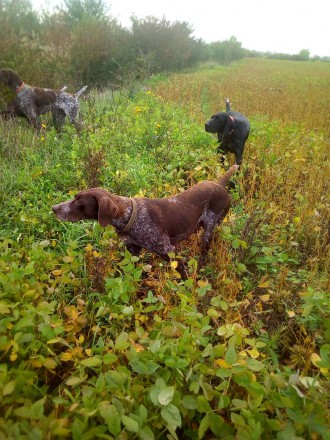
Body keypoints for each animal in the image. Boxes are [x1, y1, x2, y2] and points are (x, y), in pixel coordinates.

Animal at [52, 163, 238, 276]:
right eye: (75, 198)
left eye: (79, 202)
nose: (54, 208)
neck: (130, 216)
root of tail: (219, 184)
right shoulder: (133, 251)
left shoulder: (169, 251)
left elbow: (182, 275)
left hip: (210, 227)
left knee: (204, 252)